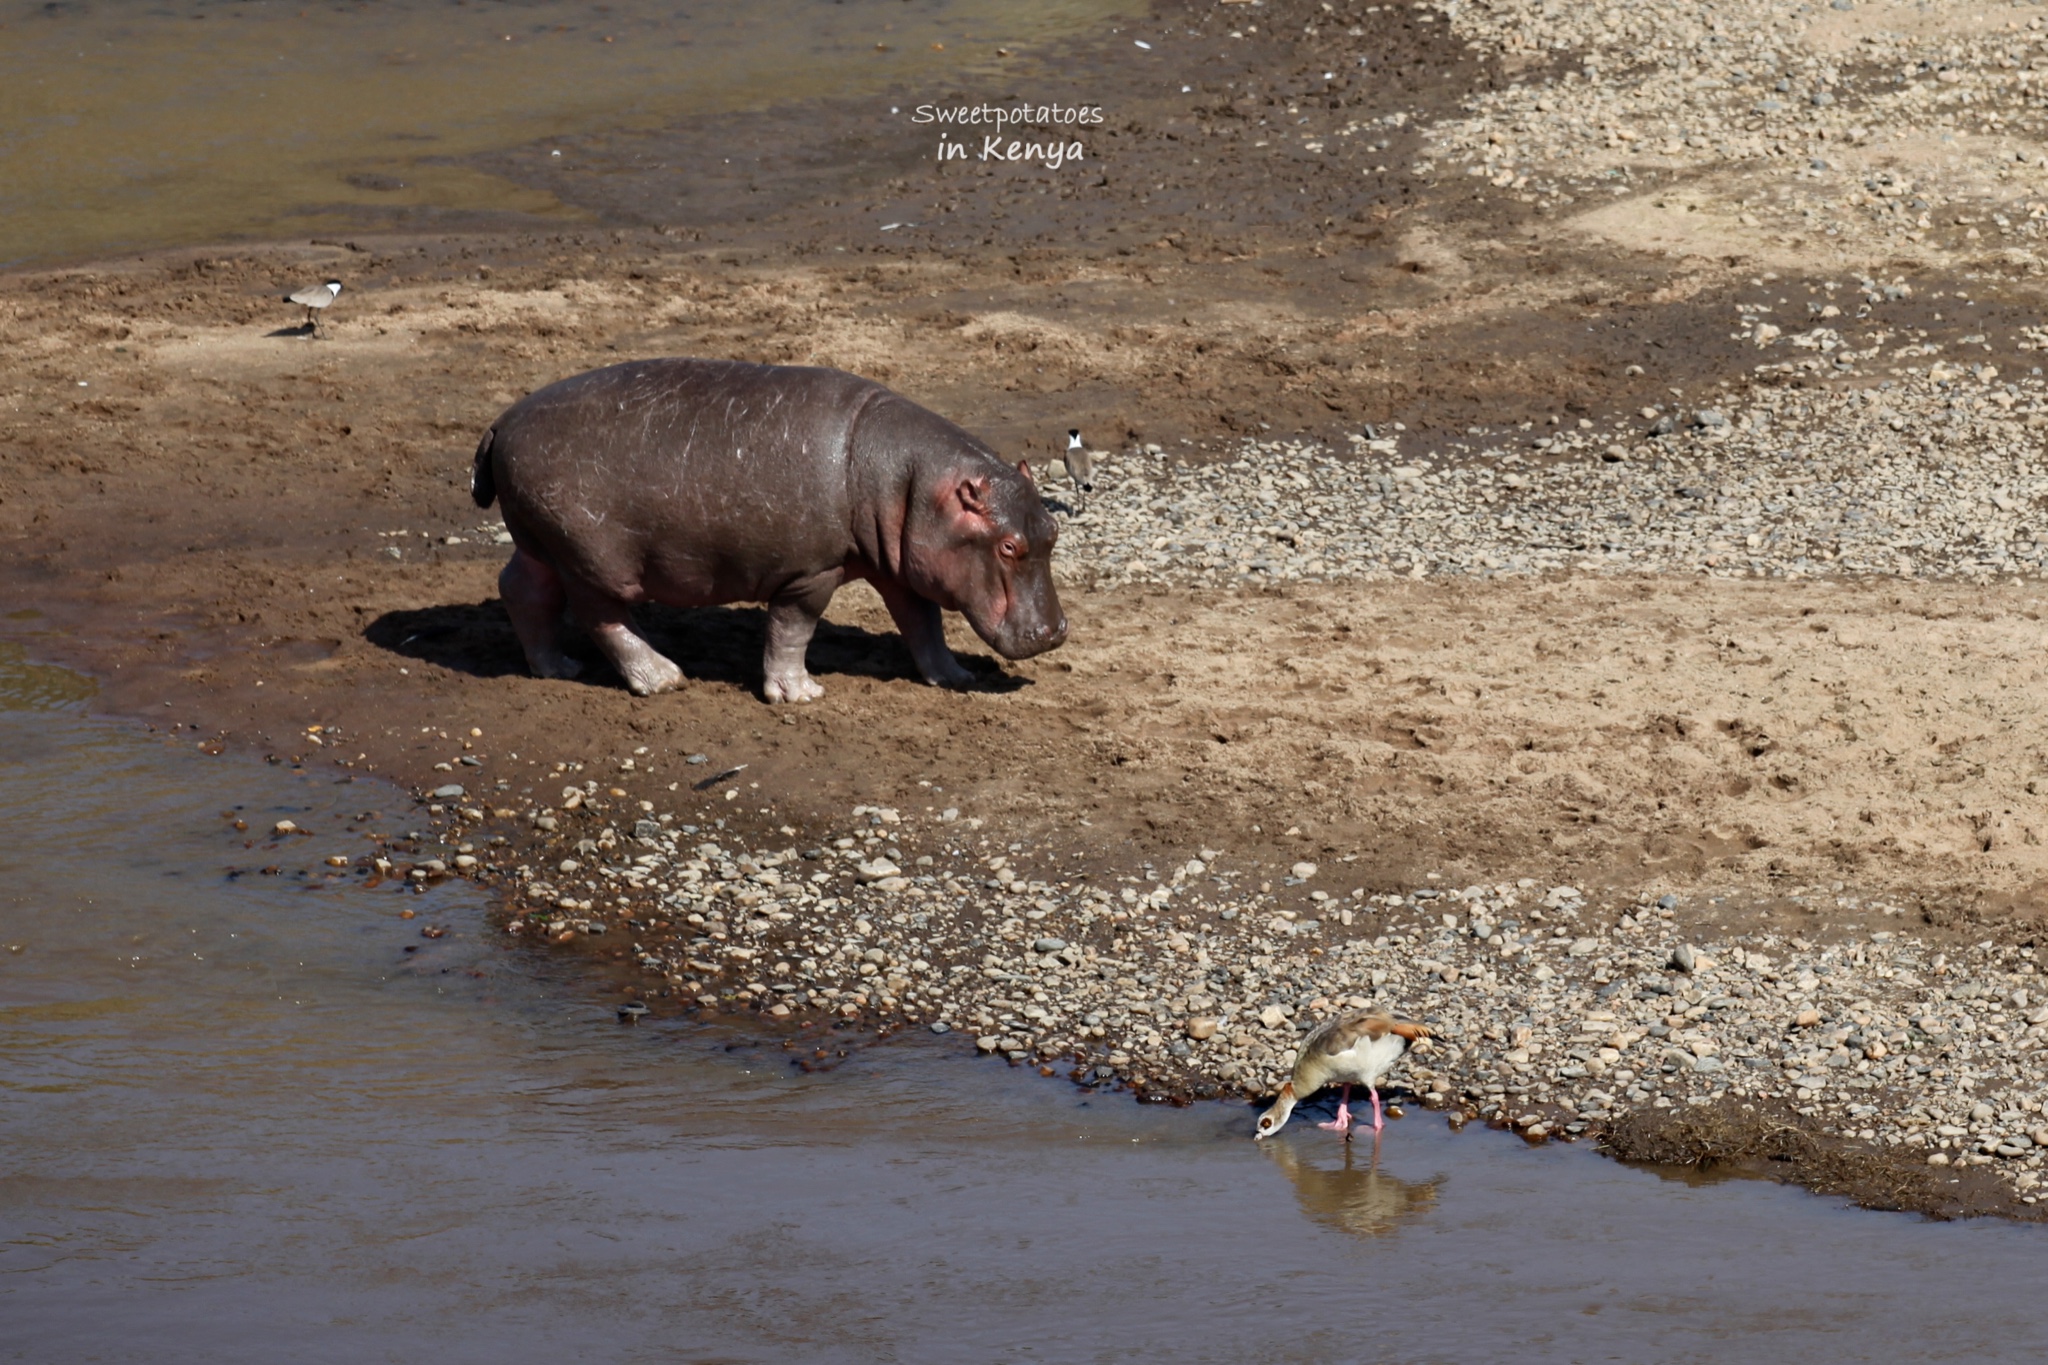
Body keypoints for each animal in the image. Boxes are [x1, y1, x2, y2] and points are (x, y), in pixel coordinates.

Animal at [468, 358, 1064, 699]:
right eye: (1008, 546)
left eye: (1052, 530)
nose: (1057, 632)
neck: (907, 480)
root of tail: (499, 421)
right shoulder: (811, 571)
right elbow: (792, 630)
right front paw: (800, 694)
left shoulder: (900, 565)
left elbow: (923, 623)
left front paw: (955, 678)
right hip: (591, 557)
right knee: (602, 616)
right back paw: (663, 679)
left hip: (542, 542)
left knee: (522, 588)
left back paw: (557, 668)